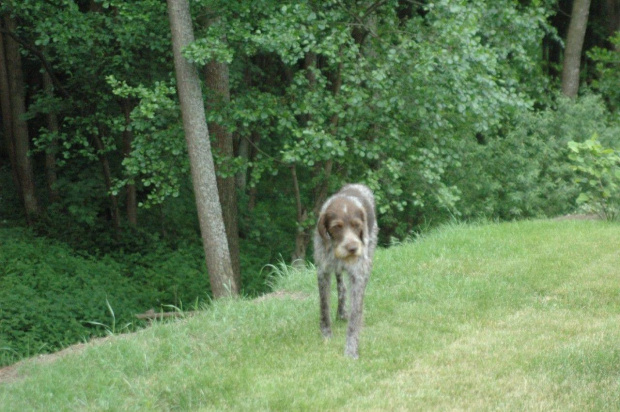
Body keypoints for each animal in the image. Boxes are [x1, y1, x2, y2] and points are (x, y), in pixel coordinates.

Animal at [314, 183, 378, 358]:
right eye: (337, 227)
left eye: (357, 225)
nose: (352, 248)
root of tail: (358, 185)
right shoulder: (323, 271)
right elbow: (324, 306)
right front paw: (326, 334)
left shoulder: (358, 274)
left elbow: (355, 314)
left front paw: (351, 349)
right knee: (341, 286)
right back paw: (341, 312)